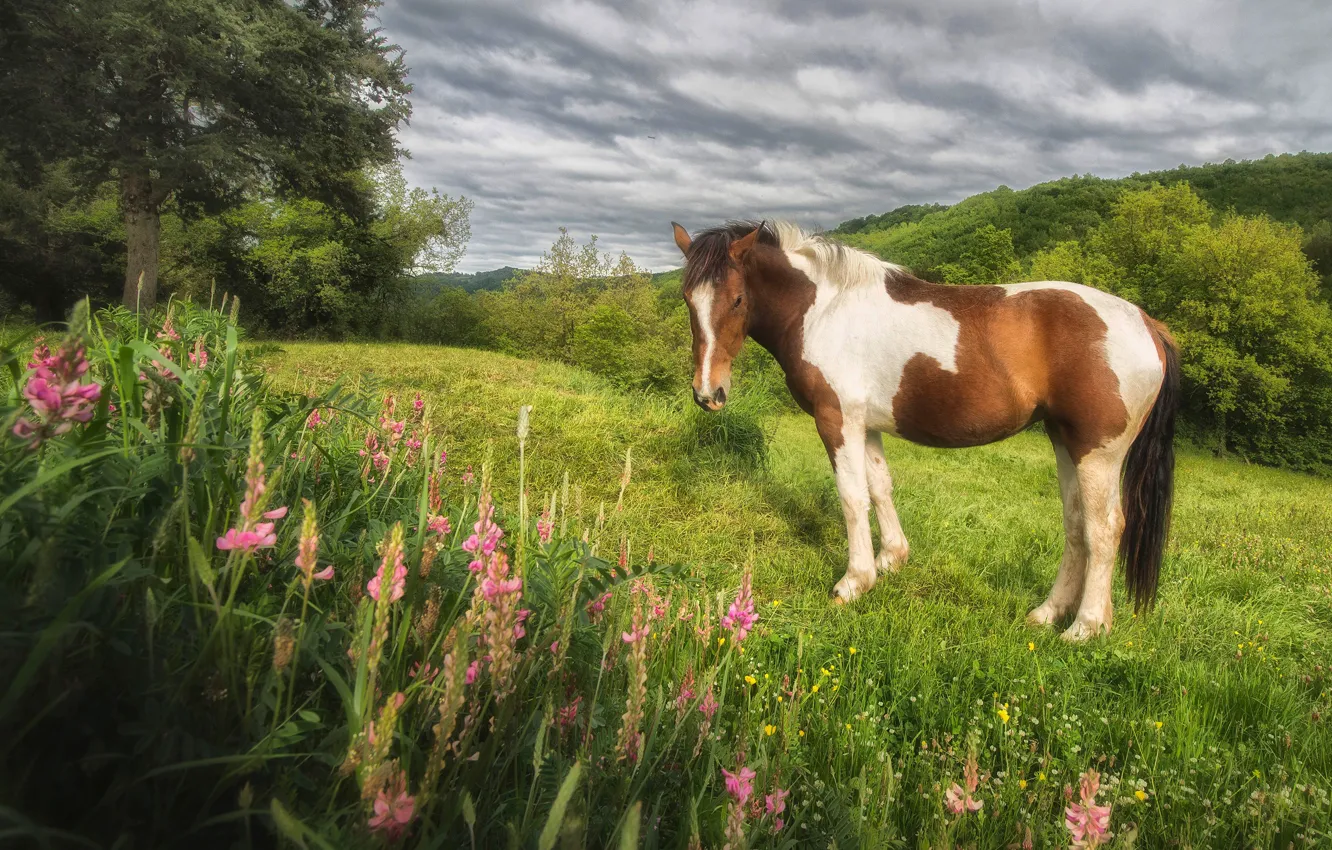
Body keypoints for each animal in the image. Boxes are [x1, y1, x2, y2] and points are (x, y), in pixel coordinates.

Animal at [671, 215, 1182, 642]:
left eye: (737, 299)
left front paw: (854, 582)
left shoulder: (837, 419)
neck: (824, 309)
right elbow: (880, 488)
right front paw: (891, 560)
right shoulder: (866, 424)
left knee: (1104, 529)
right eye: (688, 299)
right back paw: (1047, 614)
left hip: (1099, 453)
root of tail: (1148, 324)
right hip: (1066, 443)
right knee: (1076, 525)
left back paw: (1085, 627)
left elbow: (852, 497)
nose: (708, 393)